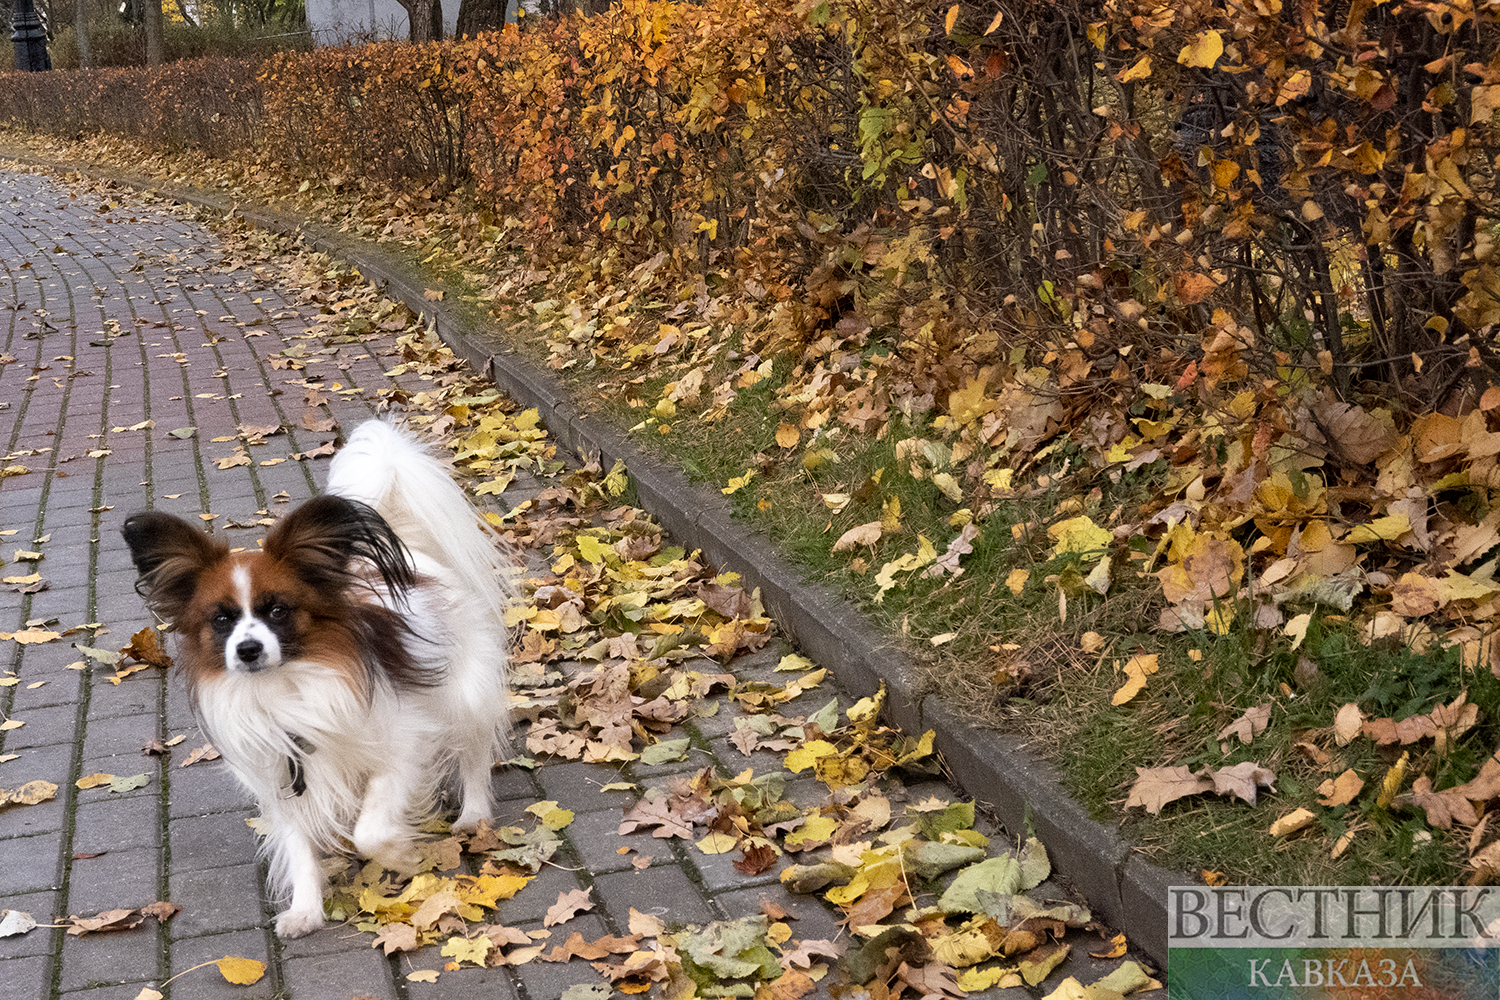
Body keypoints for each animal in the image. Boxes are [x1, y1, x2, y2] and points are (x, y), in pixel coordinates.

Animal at [123, 419, 513, 937]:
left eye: (277, 611)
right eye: (222, 619)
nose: (247, 650)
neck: (286, 688)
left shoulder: (401, 748)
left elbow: (370, 831)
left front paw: (404, 857)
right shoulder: (283, 778)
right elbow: (299, 846)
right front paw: (305, 909)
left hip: (463, 693)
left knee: (474, 750)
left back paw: (473, 815)